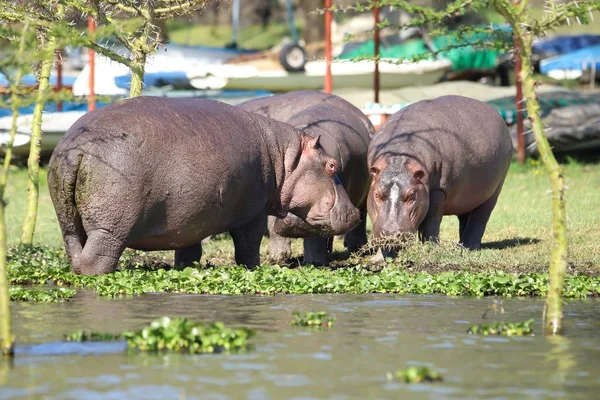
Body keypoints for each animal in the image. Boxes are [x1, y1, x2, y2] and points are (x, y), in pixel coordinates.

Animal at [49, 96, 358, 276]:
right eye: (331, 165)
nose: (355, 213)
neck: (285, 157)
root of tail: (77, 148)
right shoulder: (252, 213)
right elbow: (248, 246)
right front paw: (253, 269)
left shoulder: (190, 217)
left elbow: (190, 251)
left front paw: (186, 268)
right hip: (111, 228)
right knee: (96, 259)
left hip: (68, 220)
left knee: (74, 249)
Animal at [237, 90, 372, 266]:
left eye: (332, 165)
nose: (293, 221)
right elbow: (273, 227)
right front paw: (276, 258)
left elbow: (316, 237)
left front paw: (315, 261)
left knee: (361, 217)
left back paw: (355, 248)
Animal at [368, 94, 512, 253]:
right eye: (376, 194)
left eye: (412, 195)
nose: (391, 234)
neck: (399, 155)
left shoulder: (438, 189)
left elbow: (432, 220)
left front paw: (431, 248)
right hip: (467, 196)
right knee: (465, 217)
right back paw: (461, 246)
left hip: (494, 191)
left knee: (480, 217)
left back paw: (469, 247)